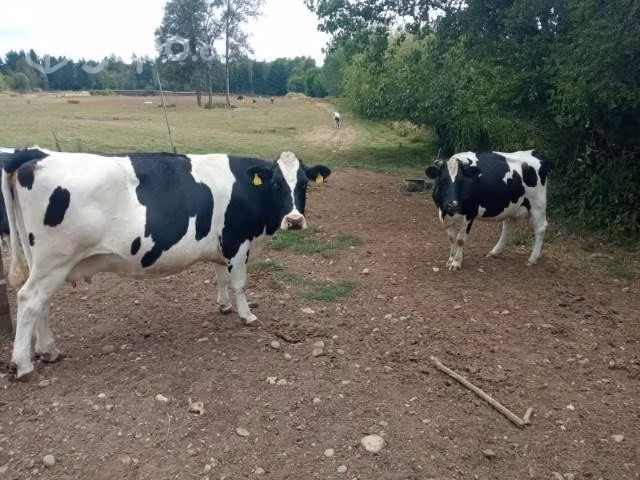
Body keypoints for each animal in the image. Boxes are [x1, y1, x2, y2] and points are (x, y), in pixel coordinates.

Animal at [2, 147, 331, 379]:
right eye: (275, 184)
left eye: (304, 184)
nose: (294, 220)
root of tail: (33, 158)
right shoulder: (238, 242)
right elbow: (239, 282)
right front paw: (246, 315)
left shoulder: (221, 245)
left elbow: (220, 276)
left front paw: (224, 306)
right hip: (54, 260)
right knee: (29, 300)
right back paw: (25, 365)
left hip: (45, 263)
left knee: (40, 304)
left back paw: (48, 350)